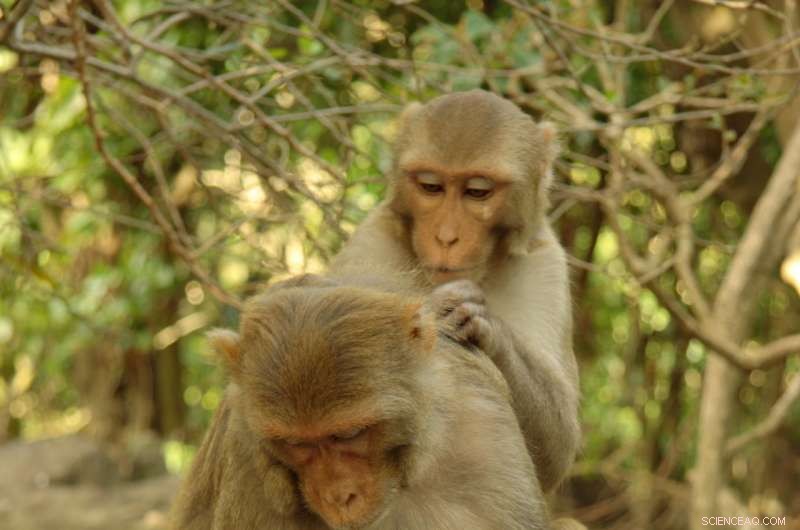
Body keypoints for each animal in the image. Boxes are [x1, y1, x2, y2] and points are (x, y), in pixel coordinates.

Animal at [329, 89, 581, 492]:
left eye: (477, 192)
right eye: (431, 187)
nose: (446, 237)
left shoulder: (546, 264)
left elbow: (556, 454)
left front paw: (479, 320)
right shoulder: (370, 243)